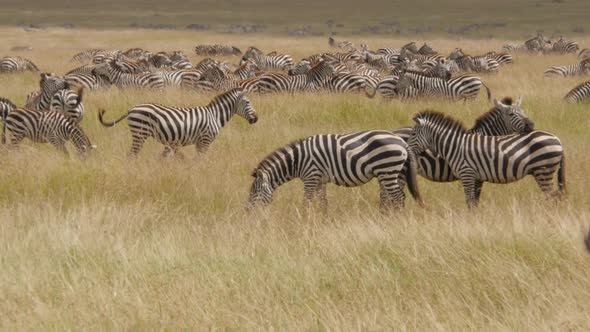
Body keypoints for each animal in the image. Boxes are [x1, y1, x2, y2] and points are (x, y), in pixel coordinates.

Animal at [98, 87, 258, 156]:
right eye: (248, 102)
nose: (256, 119)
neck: (215, 116)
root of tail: (131, 109)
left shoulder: (199, 142)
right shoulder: (205, 140)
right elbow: (201, 159)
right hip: (140, 133)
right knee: (132, 154)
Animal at [246, 130, 426, 211]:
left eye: (255, 192)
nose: (246, 211)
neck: (298, 160)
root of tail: (403, 142)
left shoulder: (311, 177)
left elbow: (306, 202)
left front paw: (303, 221)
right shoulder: (320, 180)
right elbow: (323, 203)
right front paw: (324, 221)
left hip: (387, 169)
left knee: (399, 197)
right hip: (394, 171)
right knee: (394, 196)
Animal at [410, 110, 568, 208]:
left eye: (413, 135)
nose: (407, 150)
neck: (455, 146)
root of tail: (558, 140)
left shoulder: (467, 174)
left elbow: (470, 202)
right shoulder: (476, 177)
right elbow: (473, 202)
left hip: (543, 171)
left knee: (552, 197)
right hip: (542, 172)